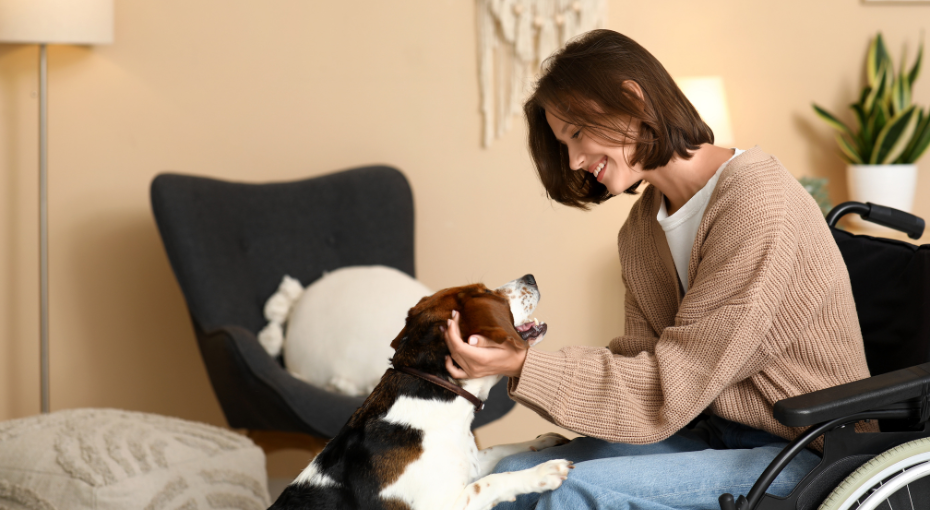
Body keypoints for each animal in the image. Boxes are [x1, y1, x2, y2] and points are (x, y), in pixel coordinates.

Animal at [268, 274, 572, 510]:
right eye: (487, 292)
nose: (530, 277)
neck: (437, 397)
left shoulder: (468, 464)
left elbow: (500, 450)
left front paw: (545, 441)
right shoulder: (447, 503)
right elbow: (494, 480)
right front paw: (543, 471)